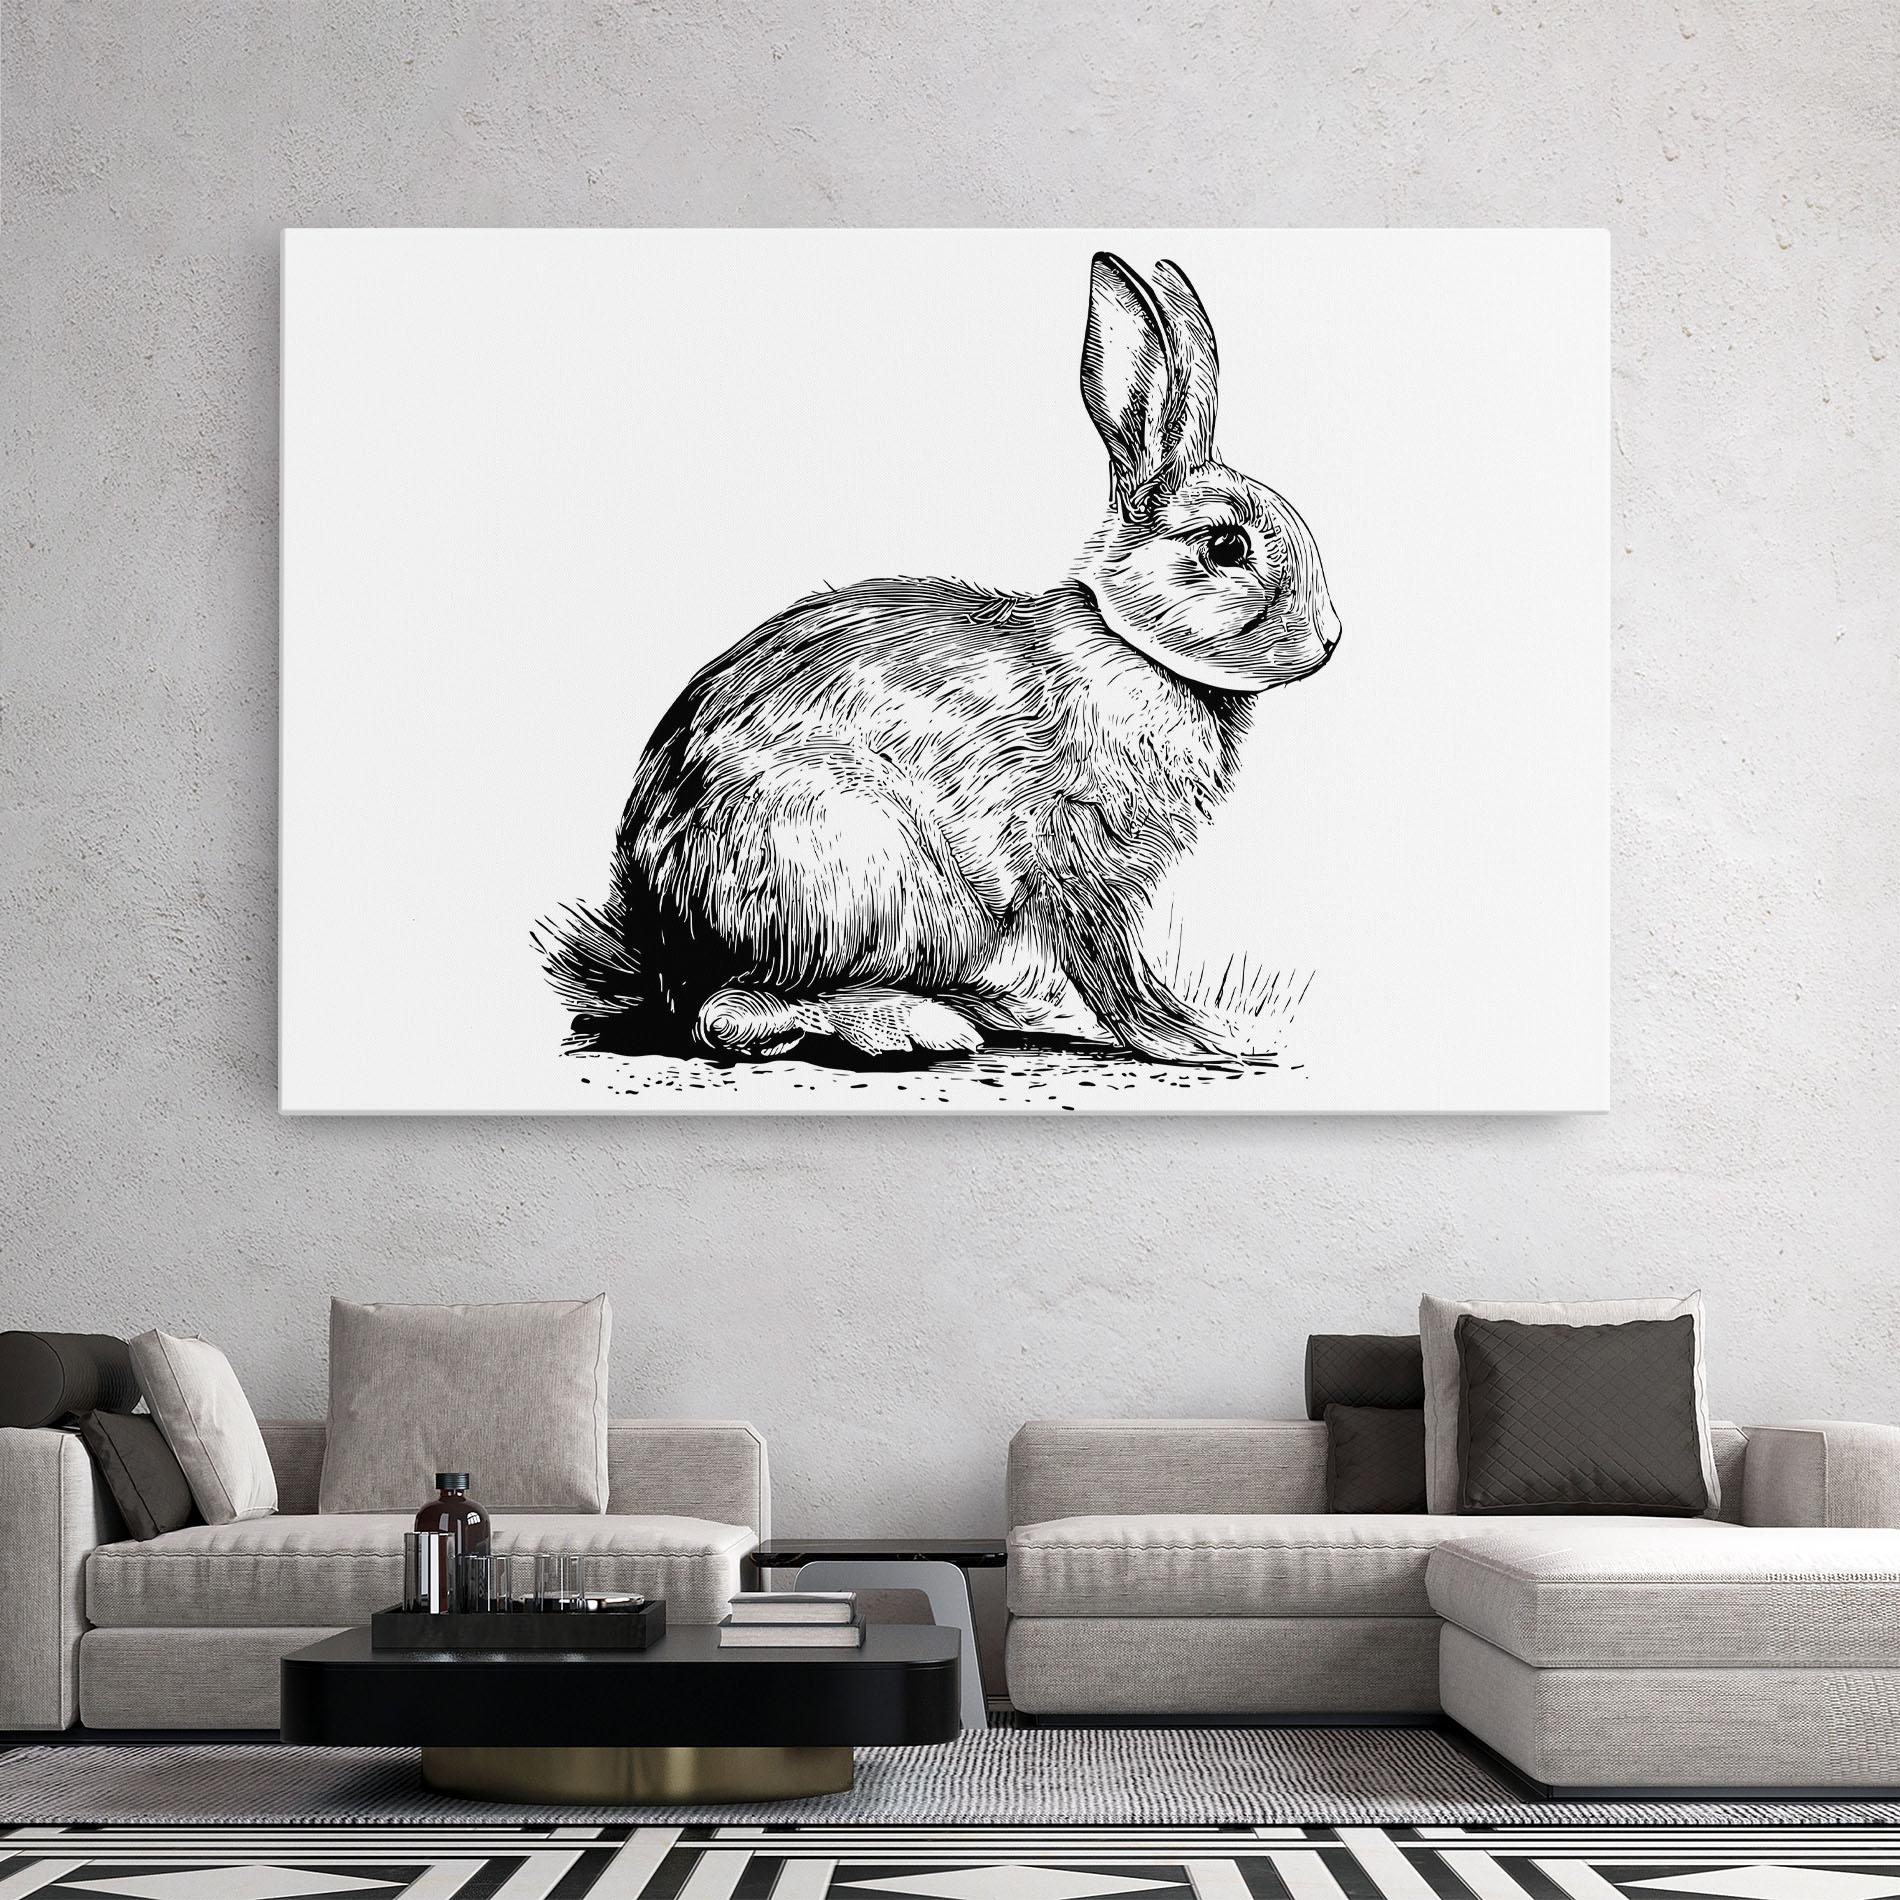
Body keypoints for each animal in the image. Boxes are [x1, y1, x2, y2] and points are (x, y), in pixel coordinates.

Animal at [537, 251, 1341, 1064]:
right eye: (1227, 546)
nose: (1331, 639)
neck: (1130, 643)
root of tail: (662, 937)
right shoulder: (1073, 855)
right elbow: (1113, 964)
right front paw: (1198, 1038)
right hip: (857, 868)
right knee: (734, 1012)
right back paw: (919, 1026)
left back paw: (995, 1008)